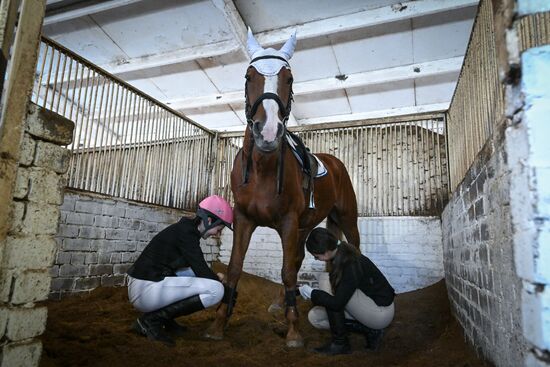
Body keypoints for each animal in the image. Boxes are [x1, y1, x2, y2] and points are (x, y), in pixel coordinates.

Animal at [207, 29, 362, 348]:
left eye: (289, 78)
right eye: (248, 76)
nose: (267, 133)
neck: (262, 168)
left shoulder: (289, 222)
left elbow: (289, 271)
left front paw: (293, 332)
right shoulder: (244, 219)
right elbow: (235, 268)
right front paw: (218, 323)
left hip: (345, 218)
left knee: (352, 246)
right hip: (306, 226)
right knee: (298, 257)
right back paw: (279, 303)